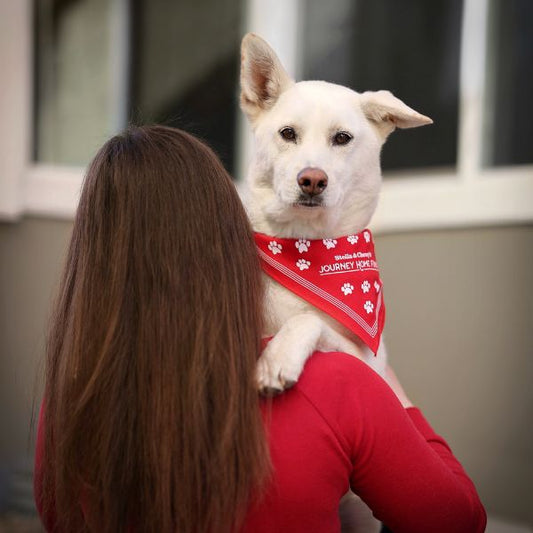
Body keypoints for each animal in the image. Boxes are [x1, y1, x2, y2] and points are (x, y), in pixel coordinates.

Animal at [239, 32, 430, 390]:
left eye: (342, 138)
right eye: (288, 133)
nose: (312, 180)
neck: (305, 246)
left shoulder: (372, 366)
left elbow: (308, 319)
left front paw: (278, 355)